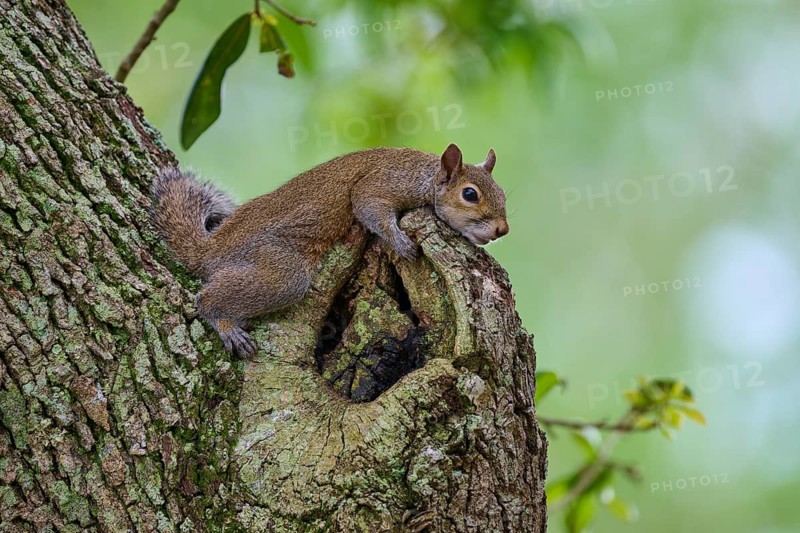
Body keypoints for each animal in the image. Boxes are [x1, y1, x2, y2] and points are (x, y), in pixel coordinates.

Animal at [151, 144, 509, 357]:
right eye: (470, 194)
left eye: (503, 192)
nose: (502, 230)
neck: (423, 175)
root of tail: (211, 249)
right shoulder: (381, 183)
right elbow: (369, 207)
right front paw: (400, 242)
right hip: (279, 270)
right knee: (207, 299)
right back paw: (225, 325)